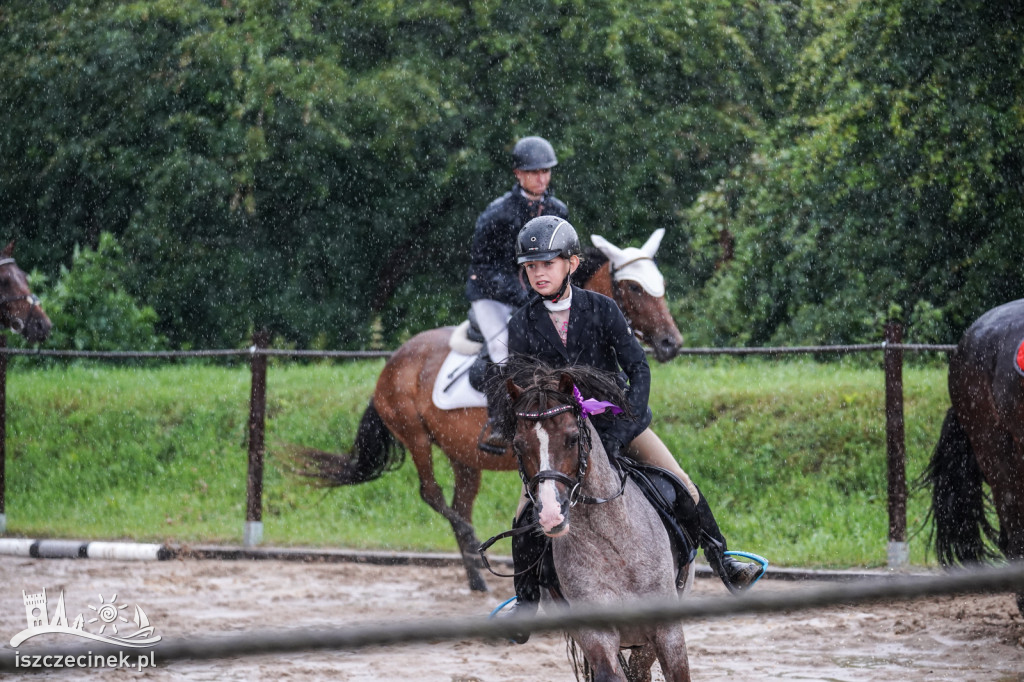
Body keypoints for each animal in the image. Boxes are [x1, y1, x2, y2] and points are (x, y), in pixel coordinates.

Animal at [299, 229, 679, 589]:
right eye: (634, 287)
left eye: (661, 284)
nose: (671, 343)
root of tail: (392, 363)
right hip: (416, 436)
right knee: (434, 495)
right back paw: (474, 553)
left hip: (463, 455)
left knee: (459, 502)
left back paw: (475, 576)